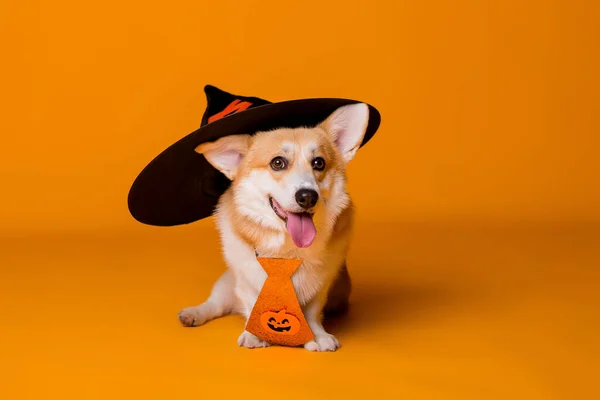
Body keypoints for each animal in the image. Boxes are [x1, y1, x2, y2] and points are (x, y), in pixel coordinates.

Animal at [176, 102, 368, 350]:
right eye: (278, 162)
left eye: (319, 163)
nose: (308, 196)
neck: (287, 249)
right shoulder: (245, 279)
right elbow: (251, 303)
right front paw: (254, 336)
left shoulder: (321, 285)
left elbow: (312, 312)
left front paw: (317, 336)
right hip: (225, 285)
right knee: (215, 304)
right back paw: (193, 314)